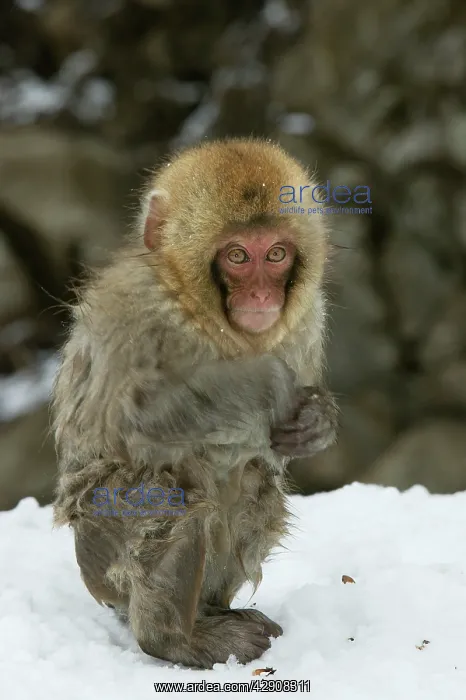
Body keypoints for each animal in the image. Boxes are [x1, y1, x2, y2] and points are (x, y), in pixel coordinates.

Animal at [52, 138, 338, 669]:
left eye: (277, 254)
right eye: (238, 256)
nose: (261, 295)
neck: (204, 315)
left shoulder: (310, 318)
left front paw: (317, 421)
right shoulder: (137, 310)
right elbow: (133, 419)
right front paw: (268, 379)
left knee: (252, 481)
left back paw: (210, 614)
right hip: (98, 551)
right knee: (173, 491)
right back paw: (171, 640)